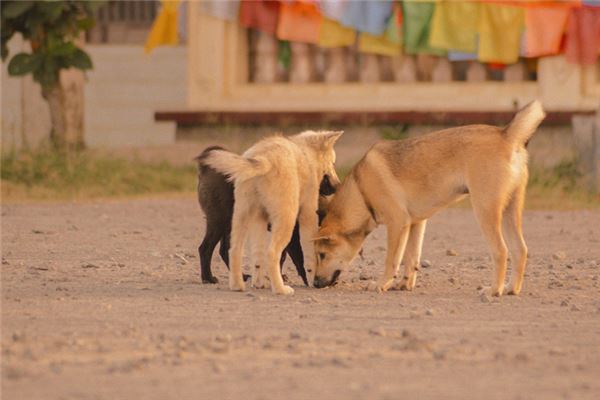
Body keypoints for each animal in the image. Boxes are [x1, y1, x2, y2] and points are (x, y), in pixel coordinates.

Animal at [203, 130, 342, 294]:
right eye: (333, 163)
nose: (338, 186)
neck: (306, 154)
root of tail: (263, 159)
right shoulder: (308, 215)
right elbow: (309, 254)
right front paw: (313, 277)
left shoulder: (260, 218)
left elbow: (258, 256)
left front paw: (258, 282)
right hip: (286, 218)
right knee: (272, 252)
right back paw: (280, 289)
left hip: (240, 216)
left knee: (235, 250)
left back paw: (239, 285)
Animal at [312, 101, 548, 296]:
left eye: (322, 255)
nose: (314, 283)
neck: (362, 191)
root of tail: (506, 134)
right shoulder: (415, 224)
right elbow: (411, 257)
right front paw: (404, 284)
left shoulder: (397, 224)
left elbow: (392, 260)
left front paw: (381, 284)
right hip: (510, 210)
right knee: (520, 250)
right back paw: (510, 289)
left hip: (485, 211)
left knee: (501, 251)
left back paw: (494, 290)